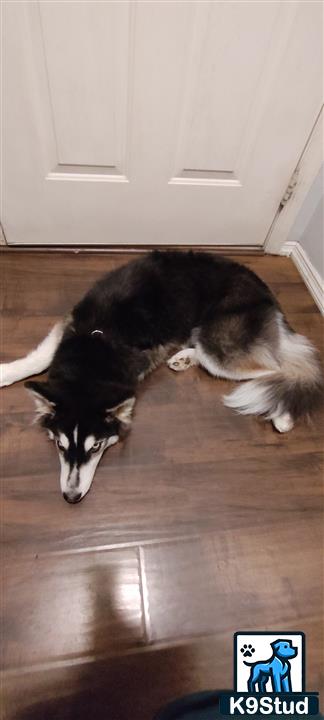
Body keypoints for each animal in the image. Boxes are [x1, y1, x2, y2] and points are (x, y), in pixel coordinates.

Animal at [1, 250, 322, 504]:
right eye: (60, 446)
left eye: (96, 447)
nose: (71, 497)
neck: (94, 349)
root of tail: (265, 290)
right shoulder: (70, 324)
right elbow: (40, 357)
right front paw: (7, 371)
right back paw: (185, 357)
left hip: (220, 347)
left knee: (279, 369)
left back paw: (283, 415)